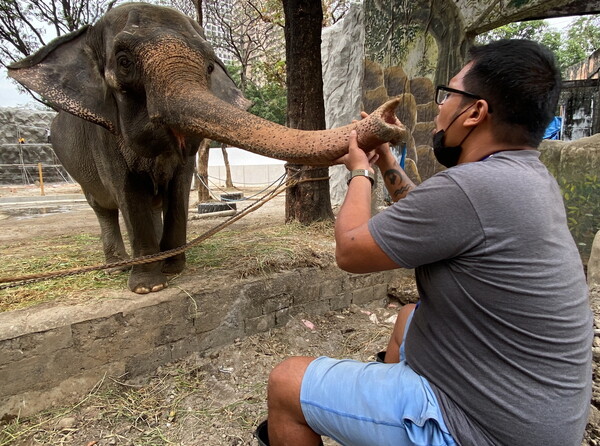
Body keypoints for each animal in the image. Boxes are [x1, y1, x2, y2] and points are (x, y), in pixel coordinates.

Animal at [8, 4, 408, 296]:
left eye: (210, 64)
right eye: (123, 62)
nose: (391, 116)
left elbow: (178, 186)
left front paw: (174, 268)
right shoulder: (103, 134)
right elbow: (128, 190)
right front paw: (148, 287)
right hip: (73, 163)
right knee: (104, 207)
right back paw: (118, 265)